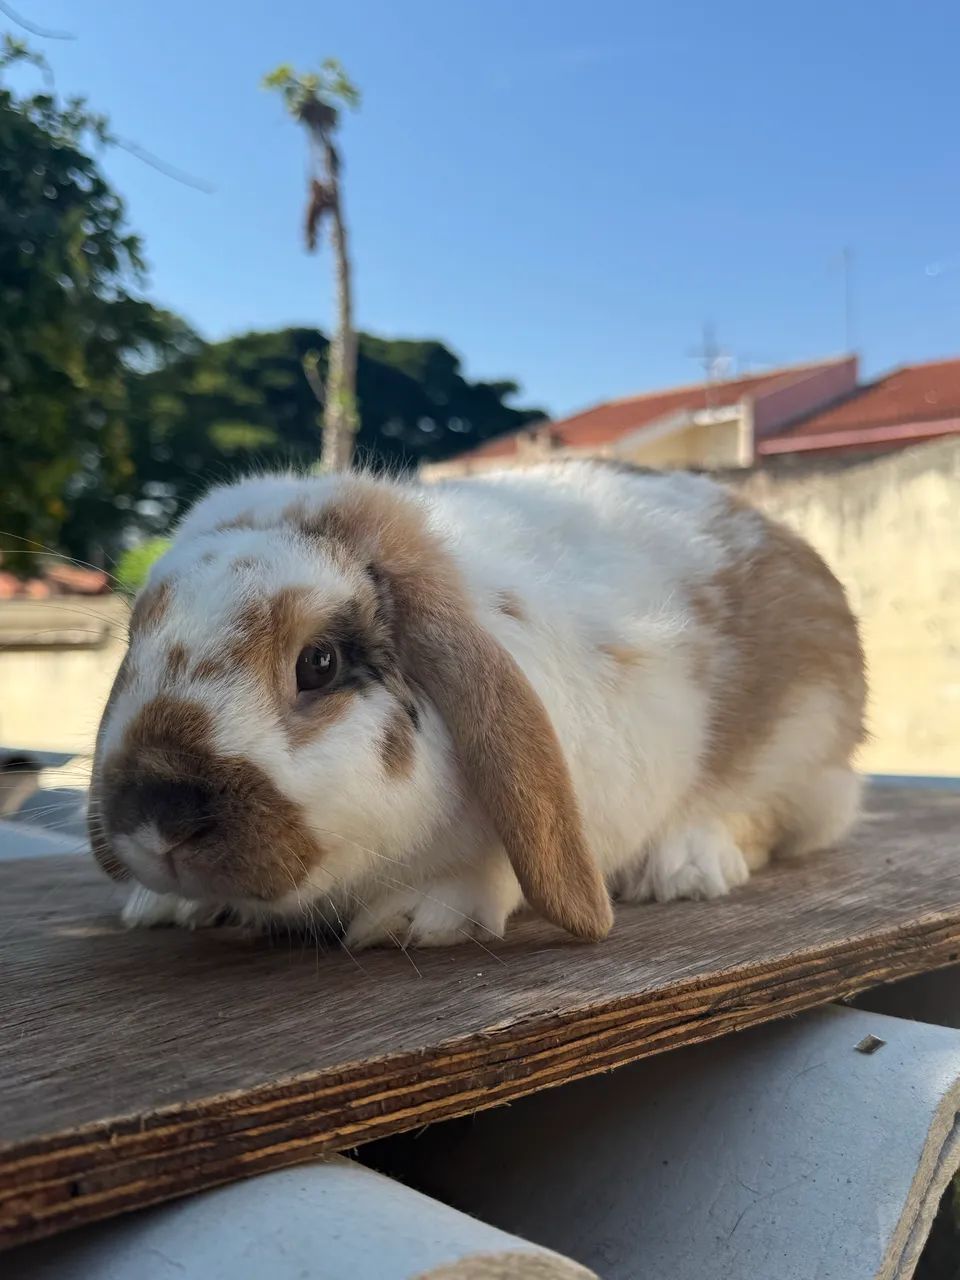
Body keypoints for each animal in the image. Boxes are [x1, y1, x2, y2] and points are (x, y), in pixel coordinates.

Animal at [89, 460, 866, 948]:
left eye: (318, 663)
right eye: (137, 639)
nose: (159, 811)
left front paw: (411, 920)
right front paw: (165, 908)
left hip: (803, 745)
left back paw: (684, 867)